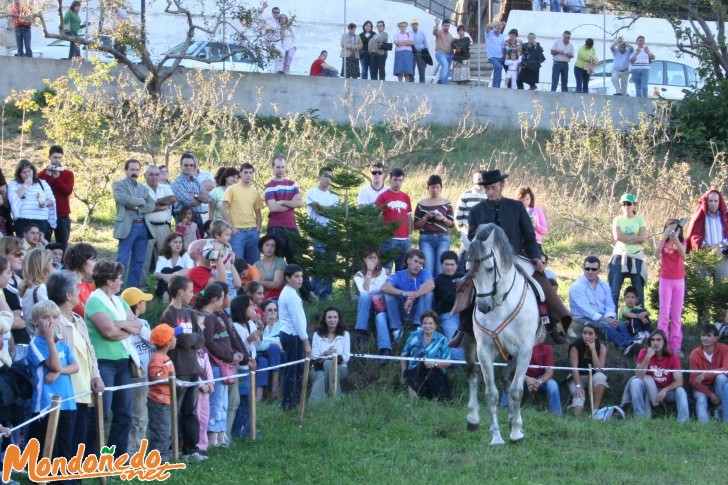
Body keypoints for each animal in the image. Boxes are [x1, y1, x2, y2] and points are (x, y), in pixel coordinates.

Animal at [466, 223, 540, 442]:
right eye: (468, 270)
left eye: (490, 268)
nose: (483, 307)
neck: (501, 302)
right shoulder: (483, 351)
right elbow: (491, 393)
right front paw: (496, 437)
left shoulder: (524, 350)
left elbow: (516, 390)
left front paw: (515, 432)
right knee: (472, 374)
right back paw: (473, 419)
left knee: (508, 381)